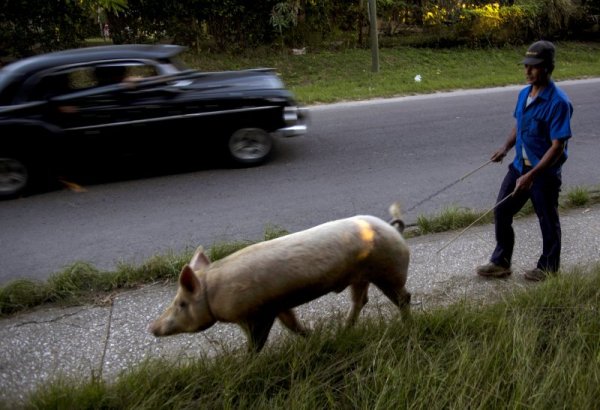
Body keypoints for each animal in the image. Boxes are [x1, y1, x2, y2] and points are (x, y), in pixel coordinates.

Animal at [152, 204, 410, 352]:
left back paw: (406, 323)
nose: (152, 327)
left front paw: (245, 362)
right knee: (360, 300)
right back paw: (344, 330)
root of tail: (394, 230)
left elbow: (258, 342)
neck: (212, 292)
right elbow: (291, 324)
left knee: (403, 297)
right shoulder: (278, 305)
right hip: (361, 276)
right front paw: (312, 337)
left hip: (388, 270)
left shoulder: (259, 313)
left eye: (181, 303)